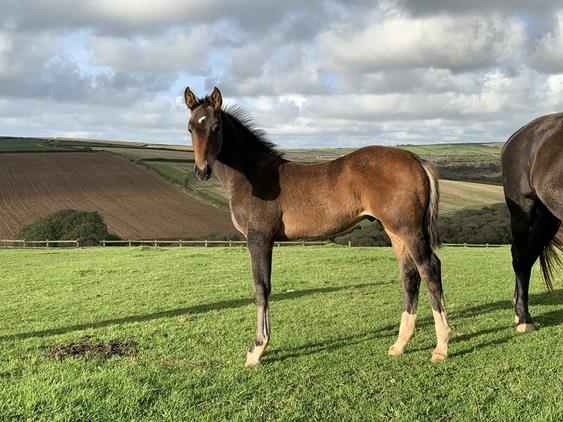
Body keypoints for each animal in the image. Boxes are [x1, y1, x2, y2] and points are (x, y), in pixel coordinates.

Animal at [185, 86, 454, 366]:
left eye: (216, 127)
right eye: (190, 128)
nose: (202, 171)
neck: (253, 177)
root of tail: (416, 159)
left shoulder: (259, 239)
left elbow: (261, 288)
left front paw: (257, 349)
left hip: (410, 230)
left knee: (429, 269)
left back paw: (441, 346)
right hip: (395, 231)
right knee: (409, 275)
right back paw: (400, 344)